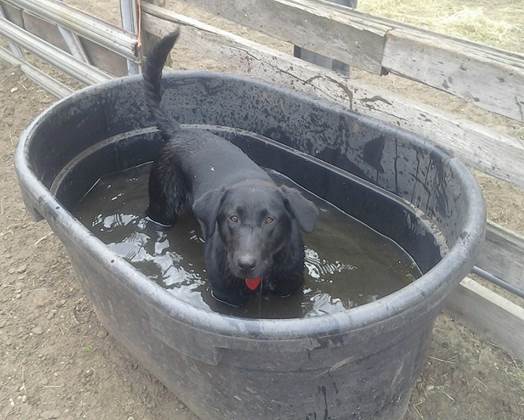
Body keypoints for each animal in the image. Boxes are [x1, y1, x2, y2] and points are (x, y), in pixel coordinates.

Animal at [141, 29, 318, 306]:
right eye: (232, 218)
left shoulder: (290, 293)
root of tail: (179, 131)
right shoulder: (225, 299)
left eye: (270, 219)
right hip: (162, 207)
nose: (245, 264)